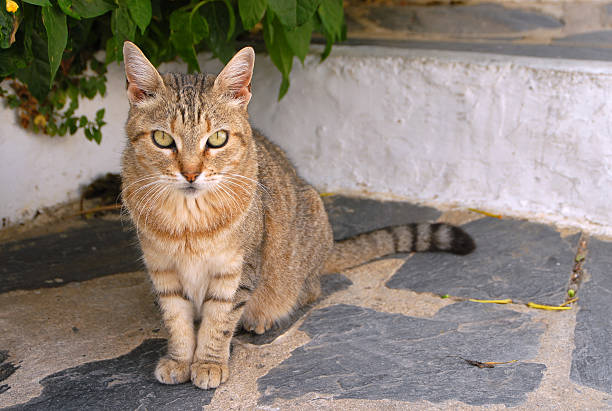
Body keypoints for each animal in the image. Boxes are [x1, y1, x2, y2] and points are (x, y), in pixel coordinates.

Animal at [118, 41, 474, 390]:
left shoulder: (237, 270)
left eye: (217, 139)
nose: (191, 174)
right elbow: (176, 320)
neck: (188, 220)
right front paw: (179, 360)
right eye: (162, 139)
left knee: (308, 291)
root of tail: (328, 249)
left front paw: (208, 363)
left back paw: (261, 318)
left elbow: (218, 322)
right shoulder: (162, 270)